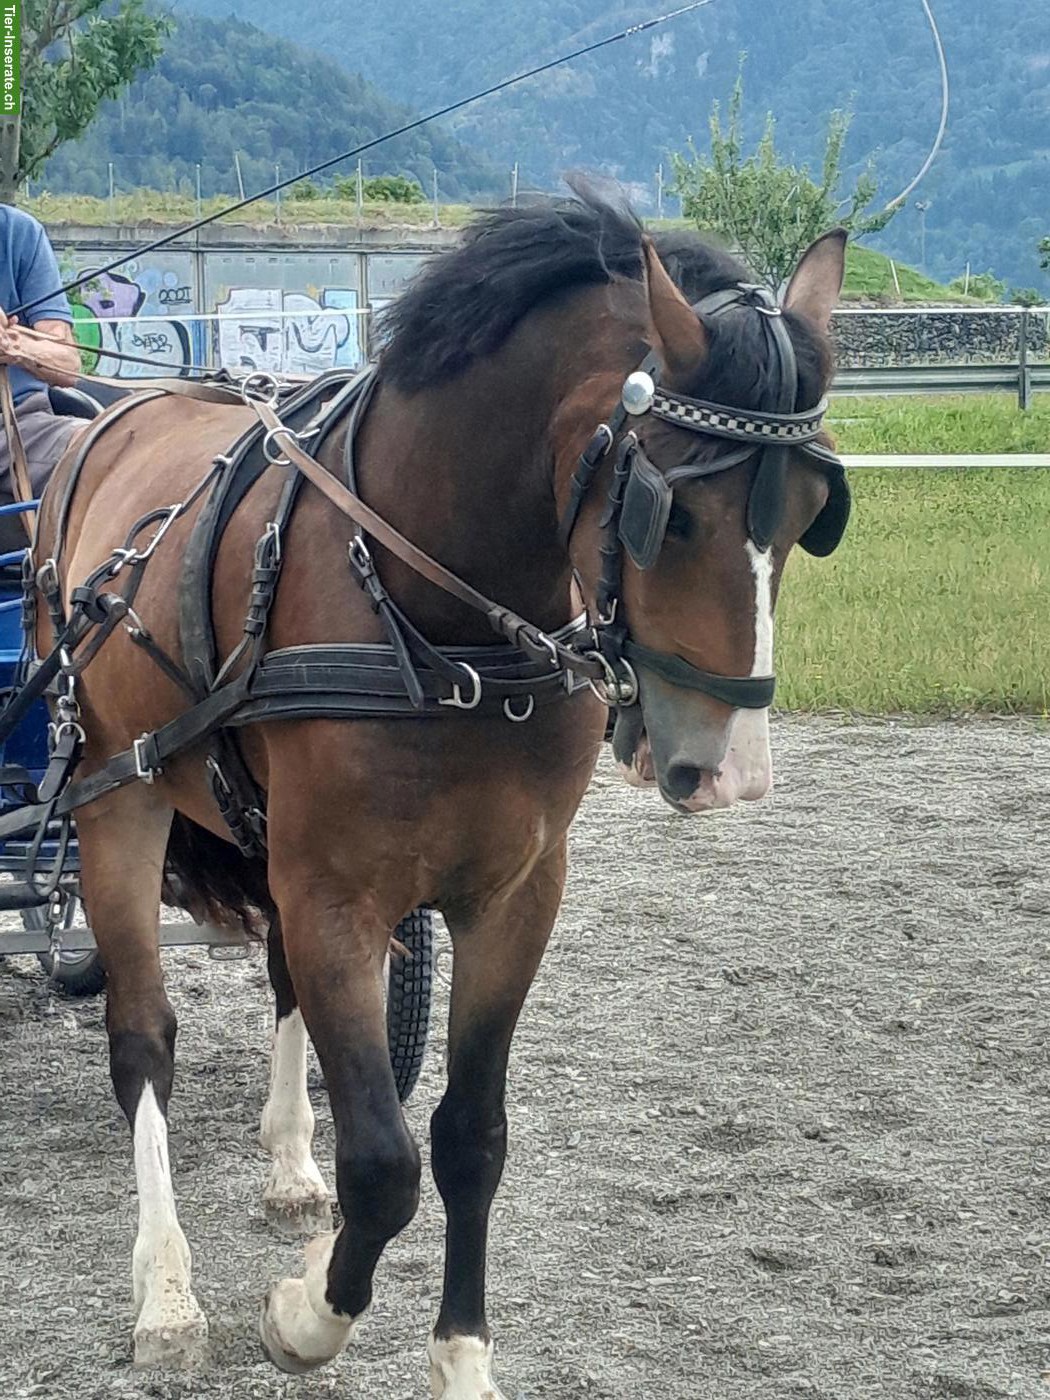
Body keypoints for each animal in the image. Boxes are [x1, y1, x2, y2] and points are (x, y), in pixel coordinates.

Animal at [30, 179, 848, 1393]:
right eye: (675, 515)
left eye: (806, 515)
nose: (729, 773)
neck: (439, 615)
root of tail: (117, 413)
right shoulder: (336, 895)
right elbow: (384, 1160)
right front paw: (304, 1313)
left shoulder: (513, 896)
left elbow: (469, 1136)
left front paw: (460, 1356)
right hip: (112, 795)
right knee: (143, 1038)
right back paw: (167, 1290)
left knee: (277, 981)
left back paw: (288, 1162)